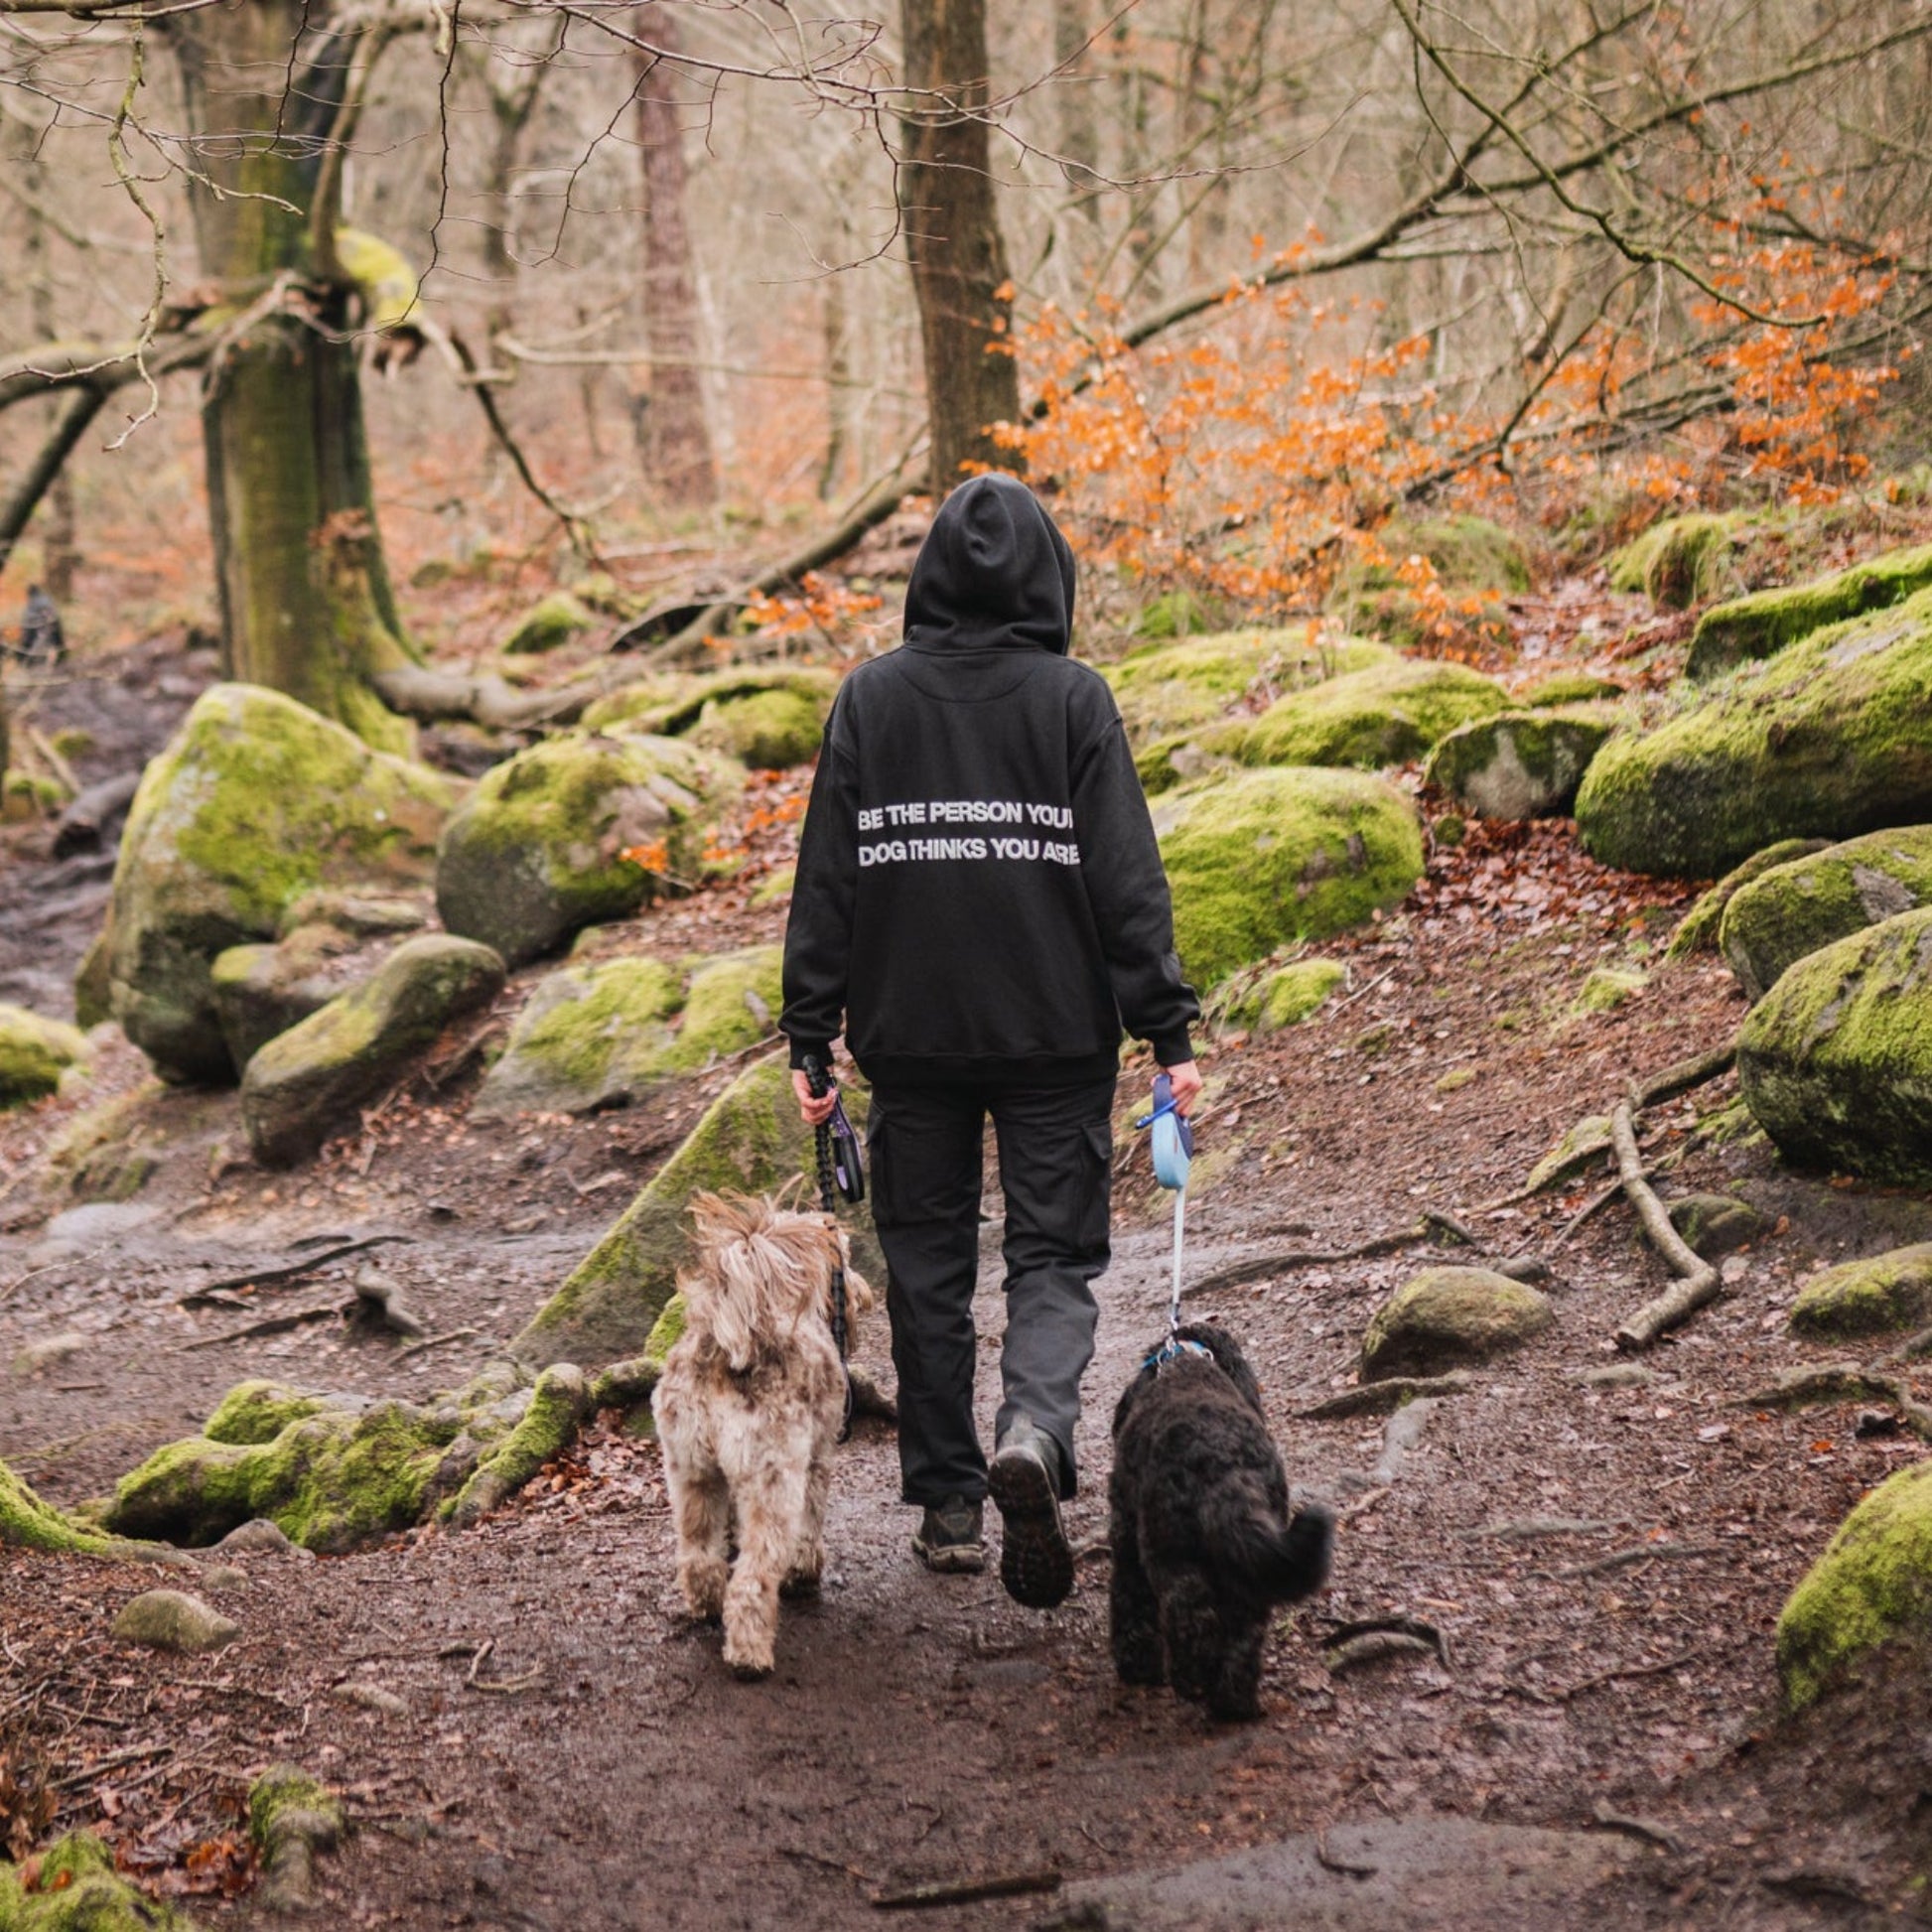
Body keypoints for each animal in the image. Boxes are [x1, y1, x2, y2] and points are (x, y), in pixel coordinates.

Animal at [652, 1189, 873, 1677]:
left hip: (690, 1472)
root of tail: (723, 1352)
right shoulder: (816, 1460)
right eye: (847, 1262)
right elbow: (811, 1521)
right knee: (752, 1579)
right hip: (774, 1483)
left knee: (698, 1555)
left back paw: (707, 1604)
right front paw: (806, 1570)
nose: (863, 1292)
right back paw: (749, 1653)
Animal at [1105, 1313, 1328, 1723]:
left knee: (1189, 1614)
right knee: (1244, 1635)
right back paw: (1235, 1703)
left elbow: (1130, 1603)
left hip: (1168, 1550)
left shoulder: (1126, 1535)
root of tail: (1223, 1466)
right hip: (1247, 1564)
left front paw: (1136, 1665)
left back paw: (1191, 1679)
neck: (1185, 1357)